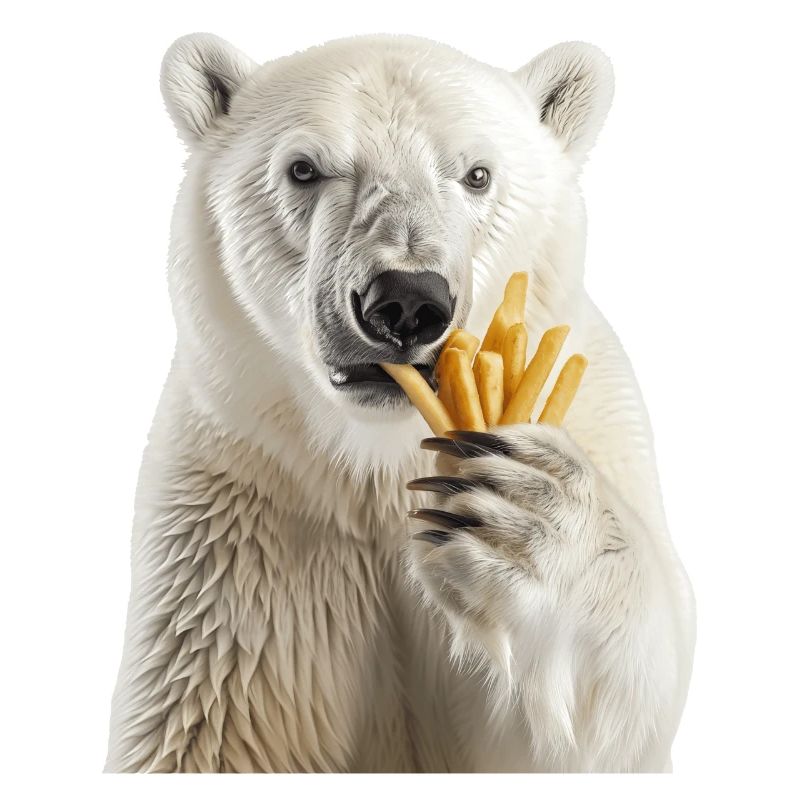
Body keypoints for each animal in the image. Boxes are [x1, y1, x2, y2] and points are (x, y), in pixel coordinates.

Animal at [105, 32, 695, 772]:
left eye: (476, 174)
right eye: (304, 168)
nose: (407, 301)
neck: (380, 462)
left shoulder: (599, 416)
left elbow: (598, 726)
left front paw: (519, 511)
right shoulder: (236, 535)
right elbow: (205, 726)